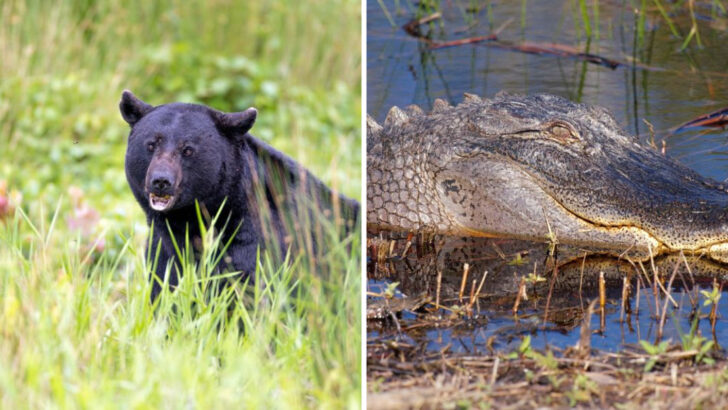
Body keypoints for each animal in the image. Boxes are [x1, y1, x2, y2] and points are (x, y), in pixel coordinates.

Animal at [119, 90, 359, 301]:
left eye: (187, 149)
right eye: (151, 144)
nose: (161, 181)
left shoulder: (260, 239)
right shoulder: (164, 246)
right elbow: (165, 287)